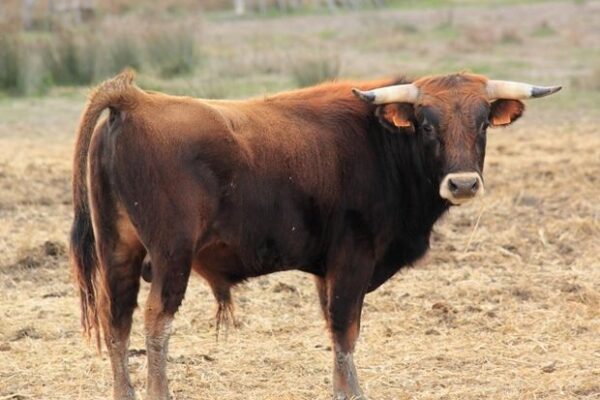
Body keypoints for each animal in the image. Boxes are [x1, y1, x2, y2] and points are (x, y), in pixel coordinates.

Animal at [70, 70, 560, 400]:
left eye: (482, 123)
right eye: (426, 124)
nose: (462, 184)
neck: (381, 142)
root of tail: (133, 100)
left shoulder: (328, 270)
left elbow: (334, 329)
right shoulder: (353, 259)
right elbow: (345, 330)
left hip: (119, 252)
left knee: (118, 322)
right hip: (171, 255)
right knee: (156, 321)